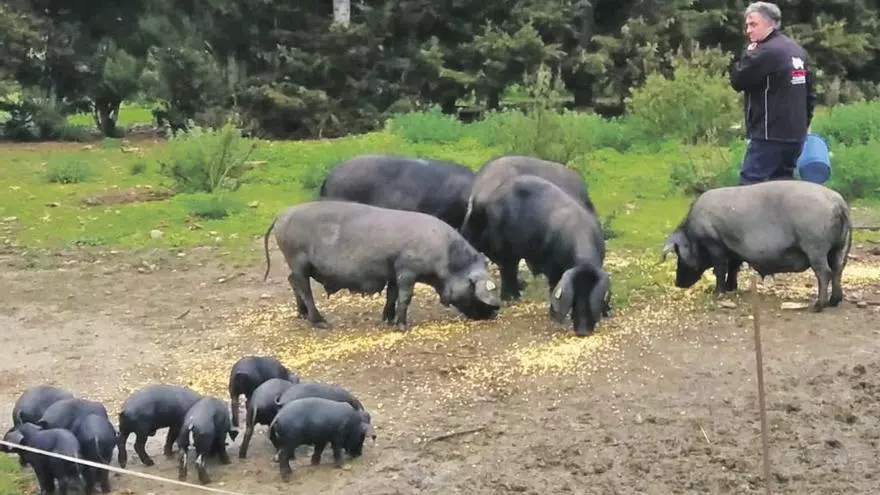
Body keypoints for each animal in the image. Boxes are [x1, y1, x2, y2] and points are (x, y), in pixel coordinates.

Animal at [261, 200, 501, 330]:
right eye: (476, 289)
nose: (493, 313)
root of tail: (281, 215)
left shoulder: (393, 270)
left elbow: (391, 295)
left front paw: (387, 319)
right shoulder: (406, 269)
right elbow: (405, 296)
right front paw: (402, 326)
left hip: (296, 263)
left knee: (292, 281)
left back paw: (301, 314)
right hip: (297, 258)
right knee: (303, 286)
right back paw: (321, 322)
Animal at [660, 180, 852, 311]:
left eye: (678, 255)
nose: (678, 283)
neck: (692, 233)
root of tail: (839, 203)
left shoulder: (714, 242)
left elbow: (720, 269)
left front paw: (717, 293)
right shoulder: (733, 249)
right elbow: (734, 268)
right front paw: (731, 288)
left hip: (815, 246)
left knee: (824, 272)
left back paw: (817, 306)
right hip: (837, 247)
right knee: (837, 269)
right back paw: (834, 302)